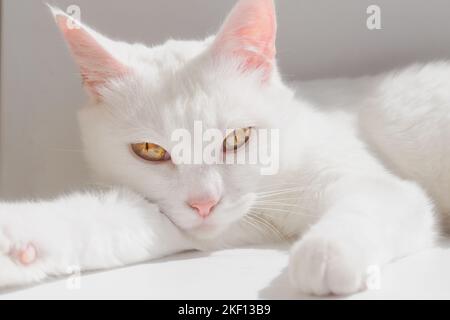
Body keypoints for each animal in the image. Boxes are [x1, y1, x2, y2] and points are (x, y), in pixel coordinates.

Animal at [0, 0, 448, 296]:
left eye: (236, 139)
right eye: (150, 150)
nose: (204, 204)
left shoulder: (374, 182)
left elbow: (369, 203)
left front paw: (326, 253)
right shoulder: (186, 224)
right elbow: (102, 221)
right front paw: (19, 244)